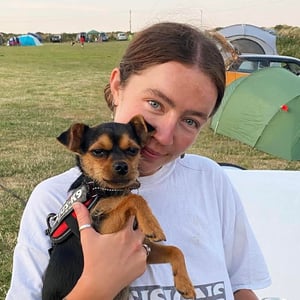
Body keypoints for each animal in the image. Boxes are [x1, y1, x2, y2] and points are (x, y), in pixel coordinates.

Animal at [42, 115, 197, 300]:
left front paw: (185, 284)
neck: (107, 192)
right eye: (98, 151)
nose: (122, 166)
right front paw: (152, 224)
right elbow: (133, 198)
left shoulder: (144, 249)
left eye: (133, 150)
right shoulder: (104, 233)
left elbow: (176, 250)